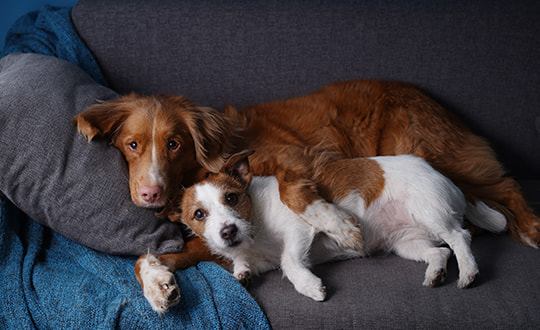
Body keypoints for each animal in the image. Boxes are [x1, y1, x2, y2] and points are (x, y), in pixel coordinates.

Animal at [150, 150, 496, 304]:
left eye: (232, 198)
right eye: (198, 214)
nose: (228, 231)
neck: (254, 232)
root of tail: (443, 175)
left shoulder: (299, 230)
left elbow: (289, 262)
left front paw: (308, 285)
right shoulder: (258, 259)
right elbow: (246, 265)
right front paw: (242, 271)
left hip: (430, 211)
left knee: (459, 237)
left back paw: (468, 271)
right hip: (407, 243)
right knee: (440, 252)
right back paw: (436, 272)